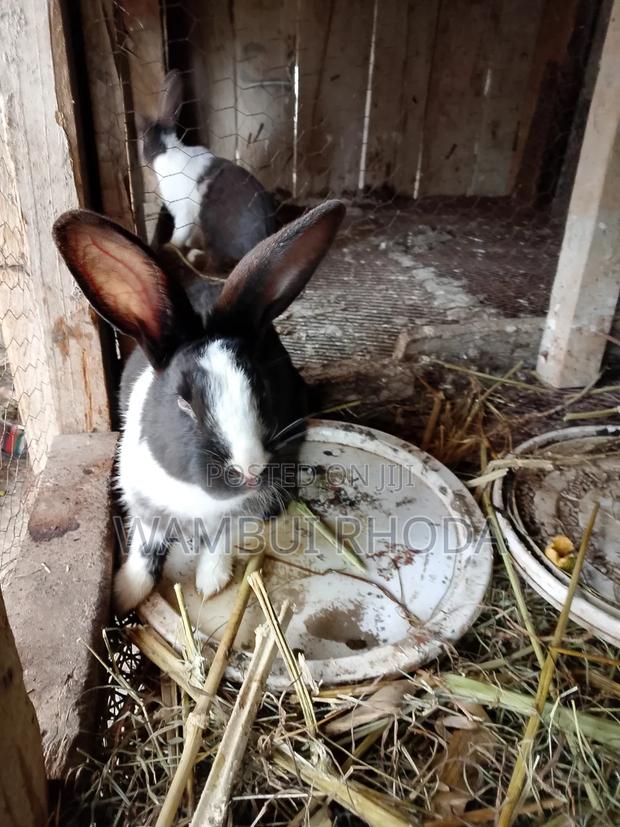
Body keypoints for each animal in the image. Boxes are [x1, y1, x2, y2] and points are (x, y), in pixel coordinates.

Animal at [52, 200, 345, 615]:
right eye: (183, 402)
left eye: (262, 387)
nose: (248, 471)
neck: (195, 497)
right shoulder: (144, 509)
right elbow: (144, 550)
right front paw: (125, 593)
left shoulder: (231, 516)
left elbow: (218, 544)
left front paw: (210, 584)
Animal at [141, 69, 278, 269]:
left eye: (143, 139)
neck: (167, 150)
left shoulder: (183, 213)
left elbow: (179, 233)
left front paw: (170, 246)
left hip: (211, 222)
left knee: (217, 261)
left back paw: (193, 255)